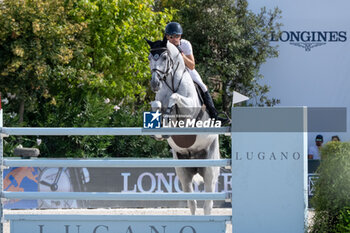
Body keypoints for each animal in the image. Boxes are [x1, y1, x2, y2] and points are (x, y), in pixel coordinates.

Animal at [146, 36, 220, 215]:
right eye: (150, 58)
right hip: (183, 170)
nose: (155, 84)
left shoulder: (190, 108)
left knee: (208, 203)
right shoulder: (159, 101)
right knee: (192, 202)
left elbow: (175, 97)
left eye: (164, 57)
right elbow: (157, 103)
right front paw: (159, 129)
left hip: (209, 168)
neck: (171, 81)